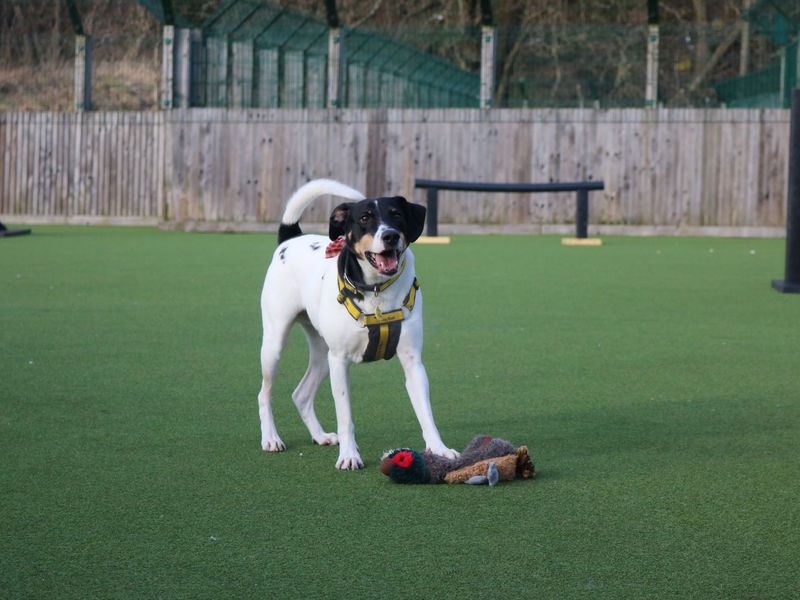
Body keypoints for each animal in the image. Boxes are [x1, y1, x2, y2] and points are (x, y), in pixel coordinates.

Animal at [256, 178, 456, 468]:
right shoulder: (340, 361)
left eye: (396, 215)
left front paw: (439, 449)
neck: (376, 292)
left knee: (301, 394)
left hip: (322, 356)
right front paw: (349, 455)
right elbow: (345, 417)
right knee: (265, 393)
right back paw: (271, 438)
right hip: (275, 345)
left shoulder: (413, 362)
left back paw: (319, 436)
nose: (390, 236)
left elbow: (426, 414)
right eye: (364, 218)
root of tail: (291, 238)